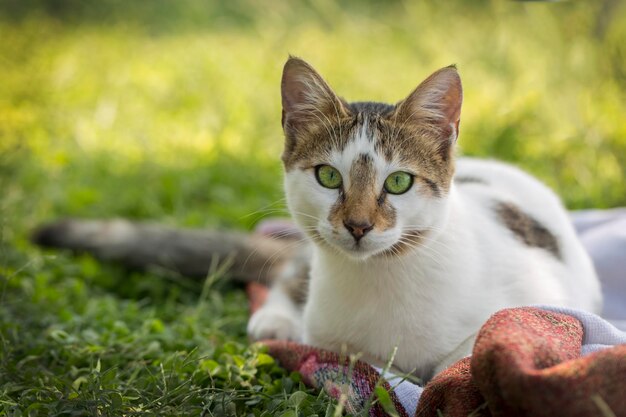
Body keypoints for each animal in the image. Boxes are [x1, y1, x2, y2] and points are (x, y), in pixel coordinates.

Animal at [33, 57, 600, 380]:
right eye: (328, 176)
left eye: (399, 182)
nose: (358, 225)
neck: (377, 281)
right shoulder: (330, 335)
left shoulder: (539, 302)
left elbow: (459, 356)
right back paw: (275, 319)